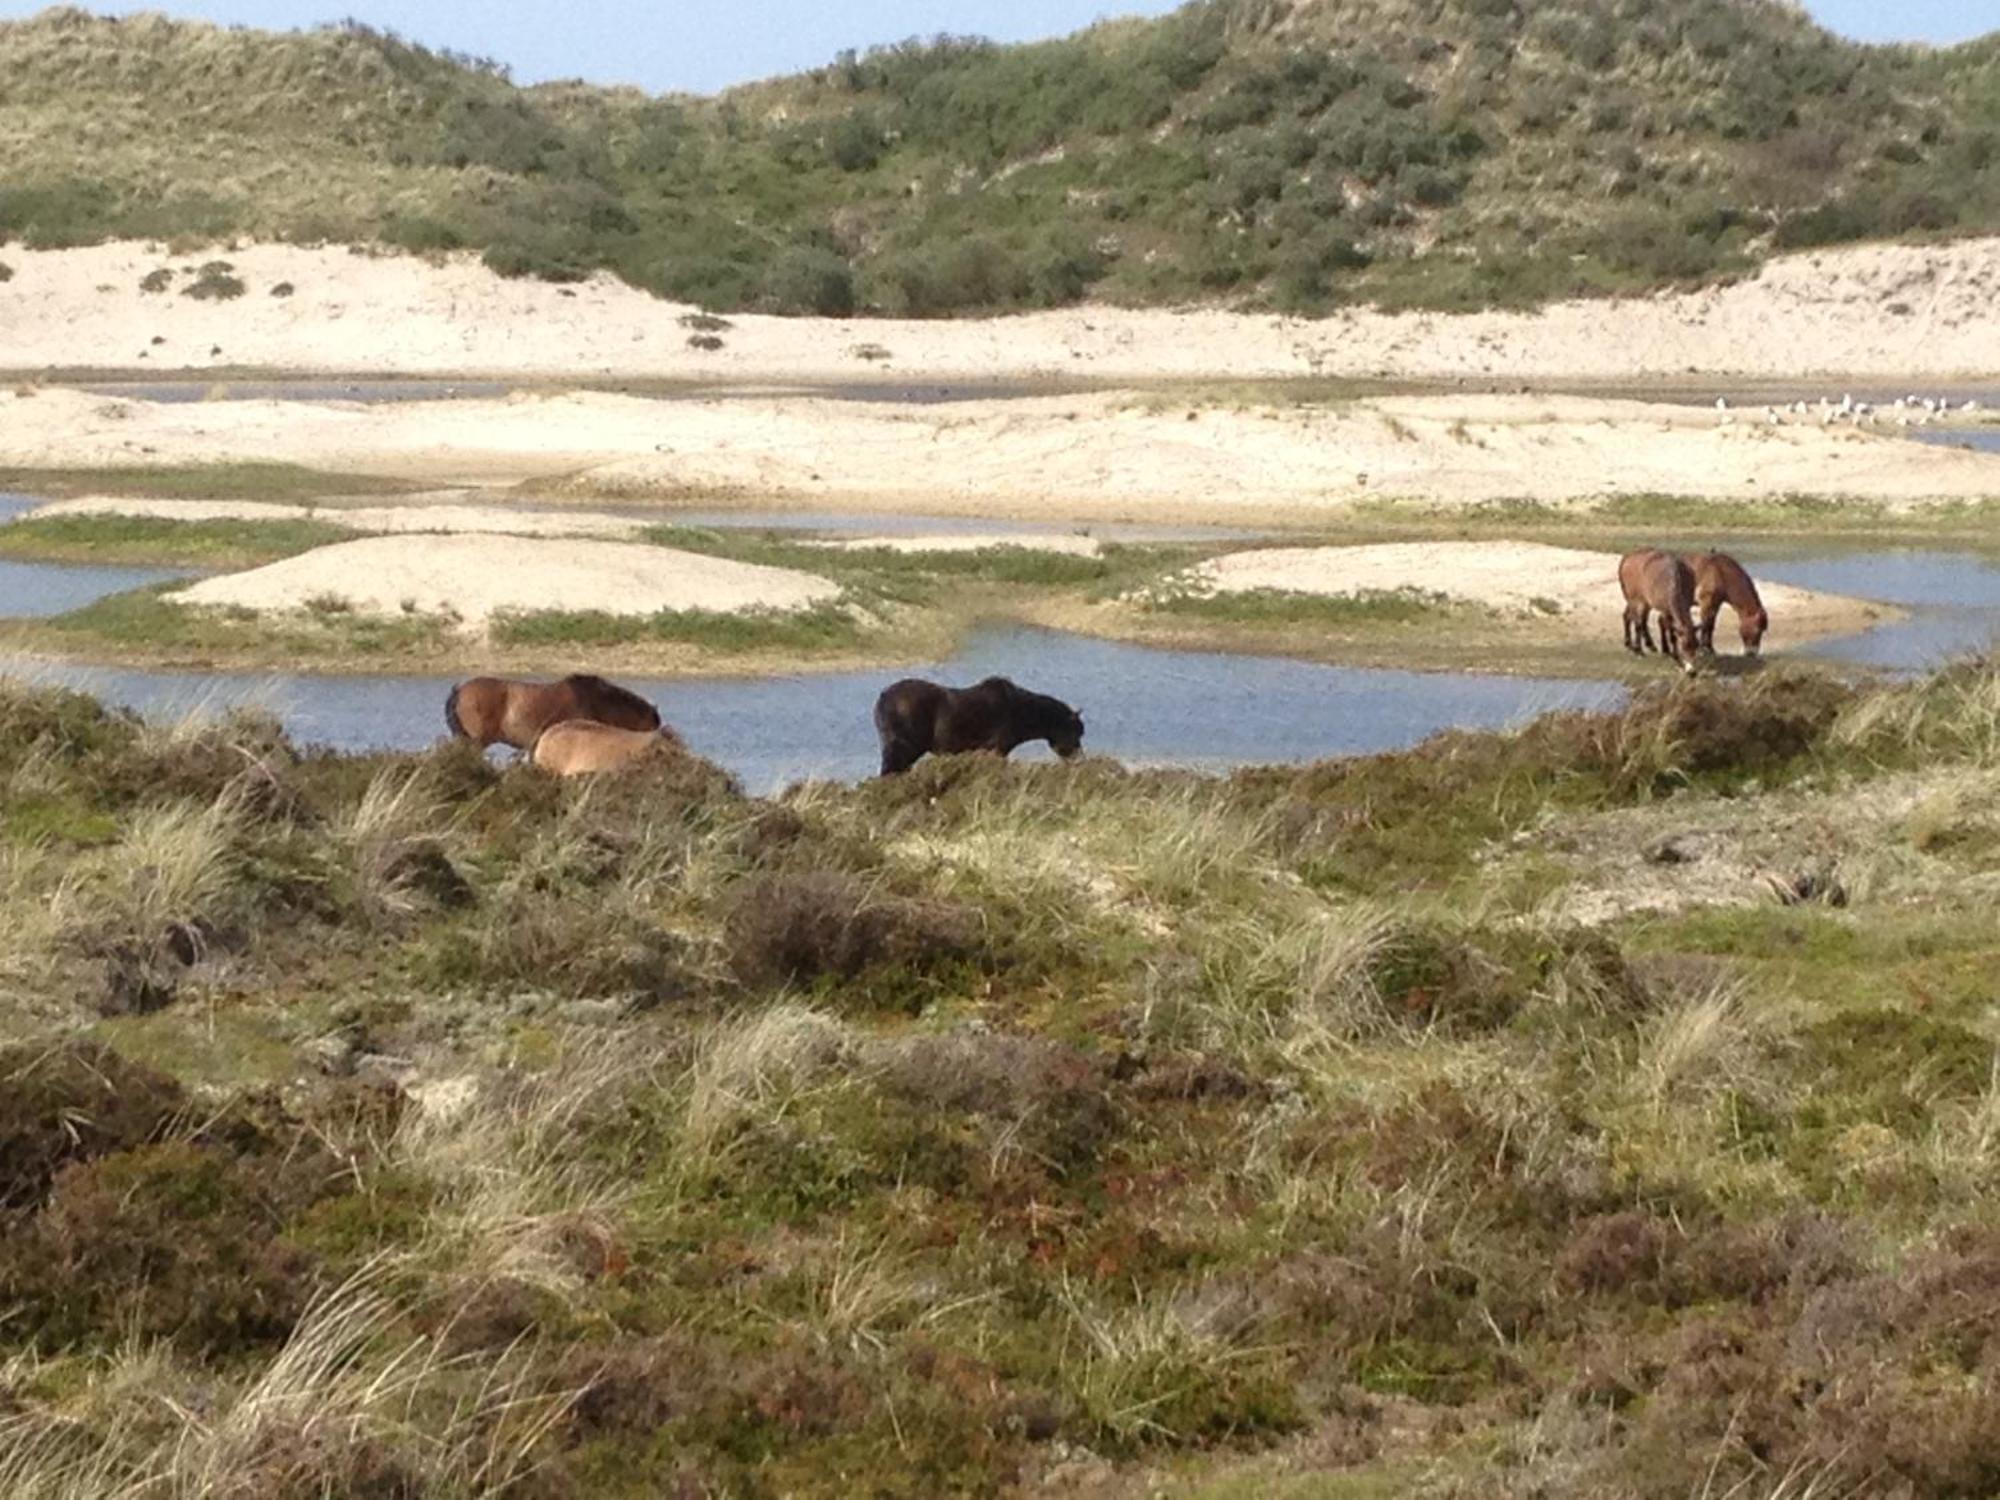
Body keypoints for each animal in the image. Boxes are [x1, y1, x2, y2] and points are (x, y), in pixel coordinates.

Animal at [872, 680, 1088, 780]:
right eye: (1076, 731)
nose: (1079, 760)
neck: (1018, 708)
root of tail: (884, 697)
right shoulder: (998, 749)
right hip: (902, 749)